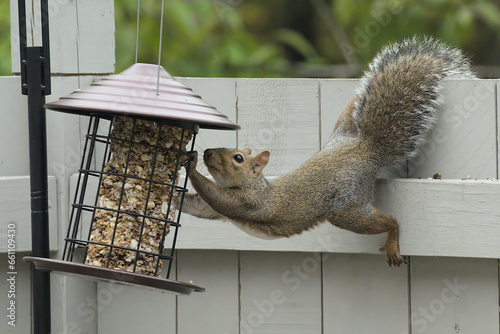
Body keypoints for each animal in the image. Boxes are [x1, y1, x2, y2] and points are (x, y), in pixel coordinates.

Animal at [179, 36, 472, 266]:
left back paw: (392, 238)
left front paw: (190, 164)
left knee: (390, 221)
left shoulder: (252, 202)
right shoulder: (216, 210)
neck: (252, 183)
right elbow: (199, 206)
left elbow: (217, 197)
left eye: (238, 158)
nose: (207, 153)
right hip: (343, 128)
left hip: (347, 208)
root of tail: (365, 149)